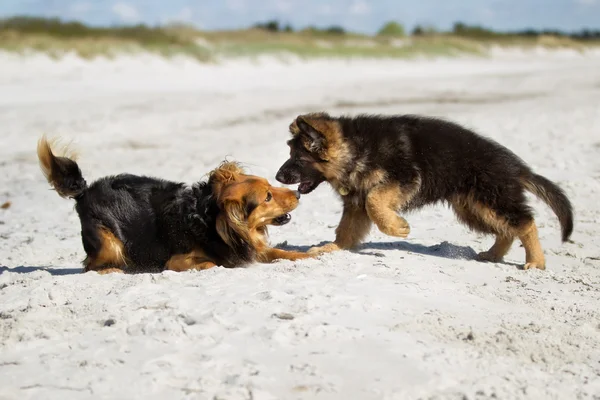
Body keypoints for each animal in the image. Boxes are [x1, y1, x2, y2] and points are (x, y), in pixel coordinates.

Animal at [37, 136, 310, 274]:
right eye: (267, 197)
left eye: (270, 186)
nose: (298, 195)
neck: (210, 219)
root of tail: (84, 192)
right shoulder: (176, 261)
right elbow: (211, 262)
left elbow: (281, 253)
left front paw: (309, 254)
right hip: (109, 243)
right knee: (89, 266)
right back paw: (113, 270)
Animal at [274, 111, 576, 272]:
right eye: (290, 155)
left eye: (298, 159)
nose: (277, 177)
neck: (357, 148)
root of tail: (516, 167)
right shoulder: (356, 203)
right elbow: (347, 230)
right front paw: (333, 248)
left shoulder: (403, 178)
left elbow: (376, 201)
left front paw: (397, 227)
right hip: (474, 207)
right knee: (507, 229)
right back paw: (493, 254)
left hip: (489, 200)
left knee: (525, 223)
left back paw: (536, 262)